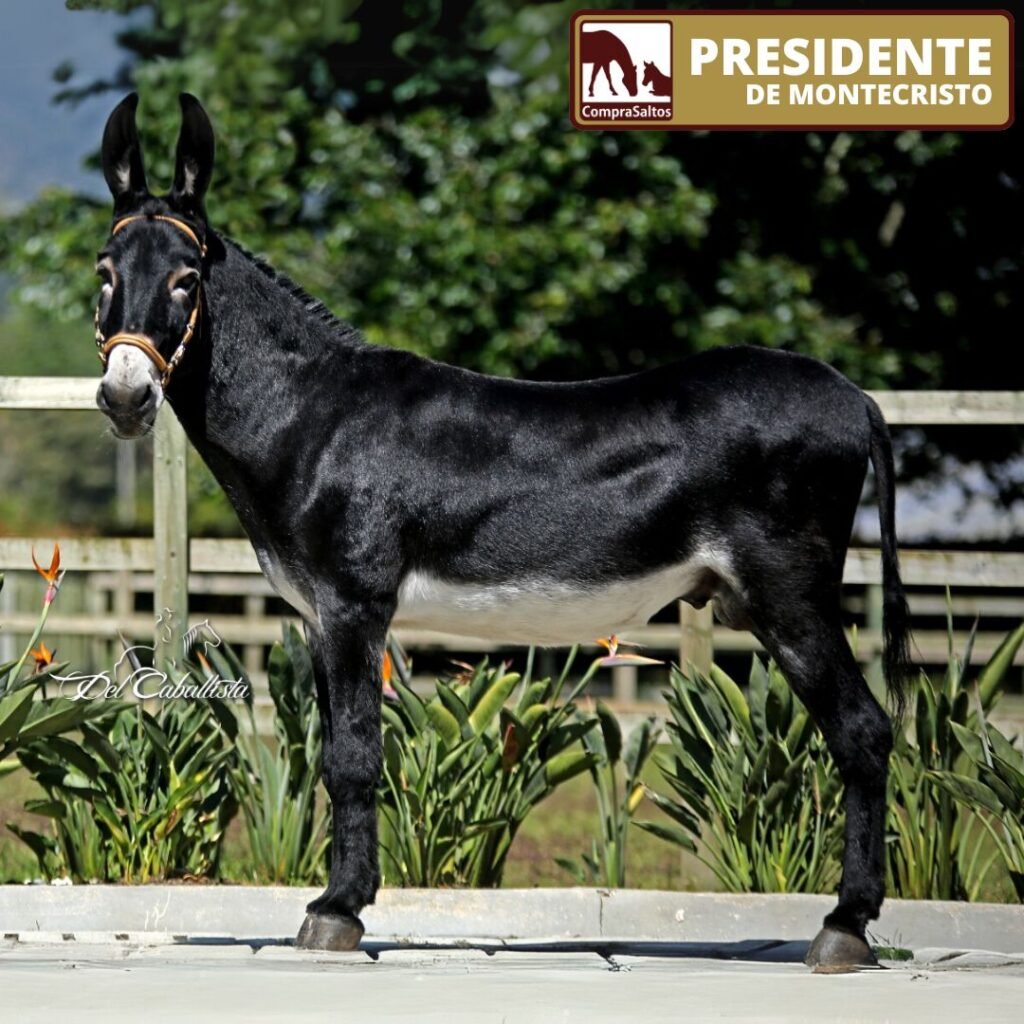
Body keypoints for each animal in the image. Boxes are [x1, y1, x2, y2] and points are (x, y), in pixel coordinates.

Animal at [93, 93, 911, 970]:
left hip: (789, 594)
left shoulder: (354, 607)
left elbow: (353, 759)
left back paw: (845, 926)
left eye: (185, 280)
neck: (314, 415)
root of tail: (855, 396)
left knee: (863, 732)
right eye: (104, 273)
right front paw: (340, 902)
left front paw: (337, 913)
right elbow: (334, 754)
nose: (125, 398)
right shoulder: (317, 618)